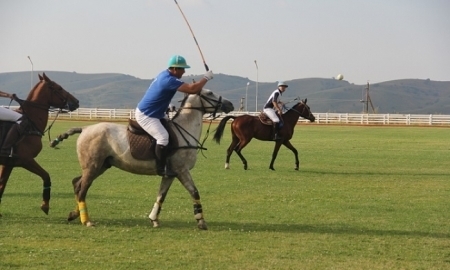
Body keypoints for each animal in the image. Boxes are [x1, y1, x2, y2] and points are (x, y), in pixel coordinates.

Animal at [0, 73, 79, 216]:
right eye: (59, 88)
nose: (76, 102)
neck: (32, 123)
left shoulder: (8, 163)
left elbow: (1, 185)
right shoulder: (25, 160)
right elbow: (46, 176)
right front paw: (45, 205)